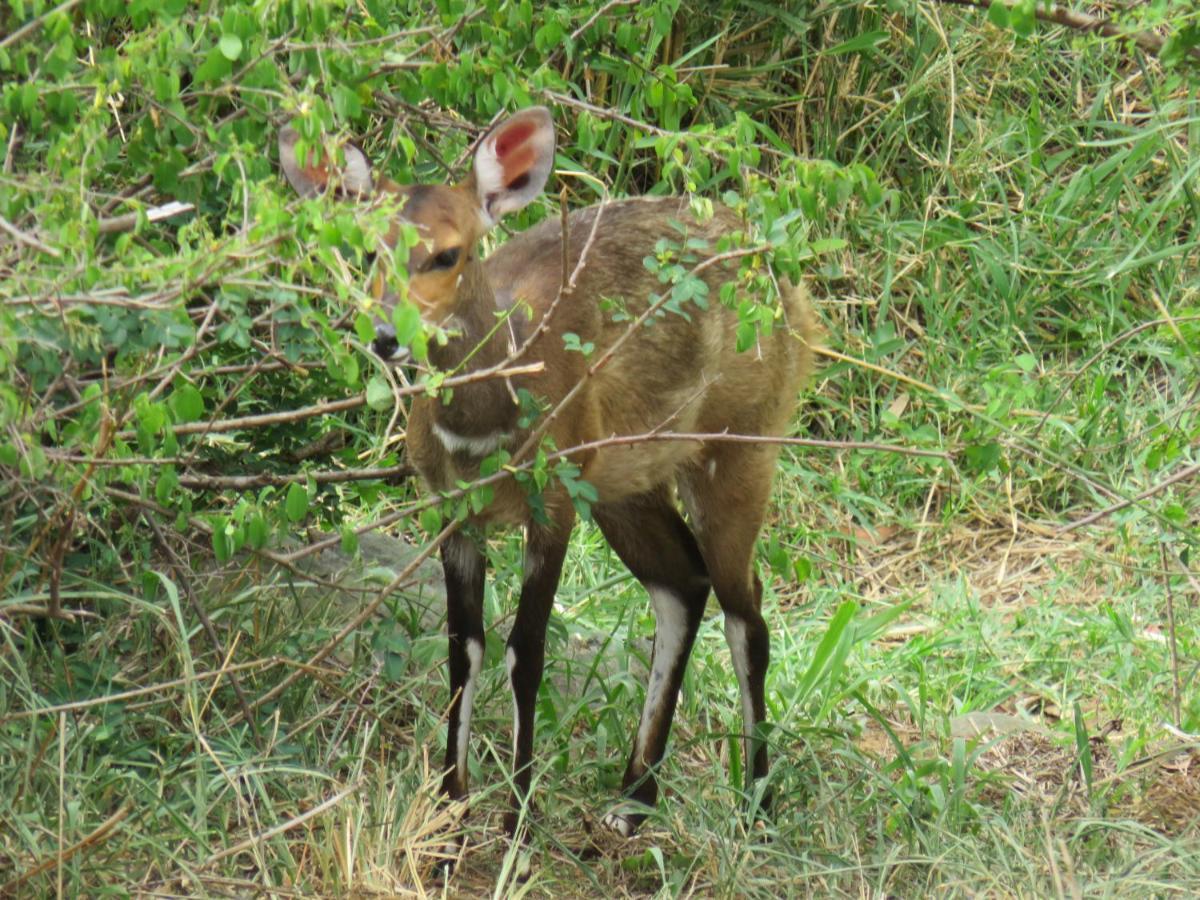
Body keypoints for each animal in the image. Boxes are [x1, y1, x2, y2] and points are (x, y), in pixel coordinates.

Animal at [278, 107, 816, 840]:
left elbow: (526, 653)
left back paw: (756, 804)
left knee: (748, 616)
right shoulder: (454, 513)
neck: (486, 428)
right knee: (683, 583)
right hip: (624, 486)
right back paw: (632, 799)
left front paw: (517, 818)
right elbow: (464, 649)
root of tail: (783, 282)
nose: (386, 336)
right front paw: (450, 809)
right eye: (367, 252)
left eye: (447, 253)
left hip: (738, 450)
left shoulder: (552, 504)